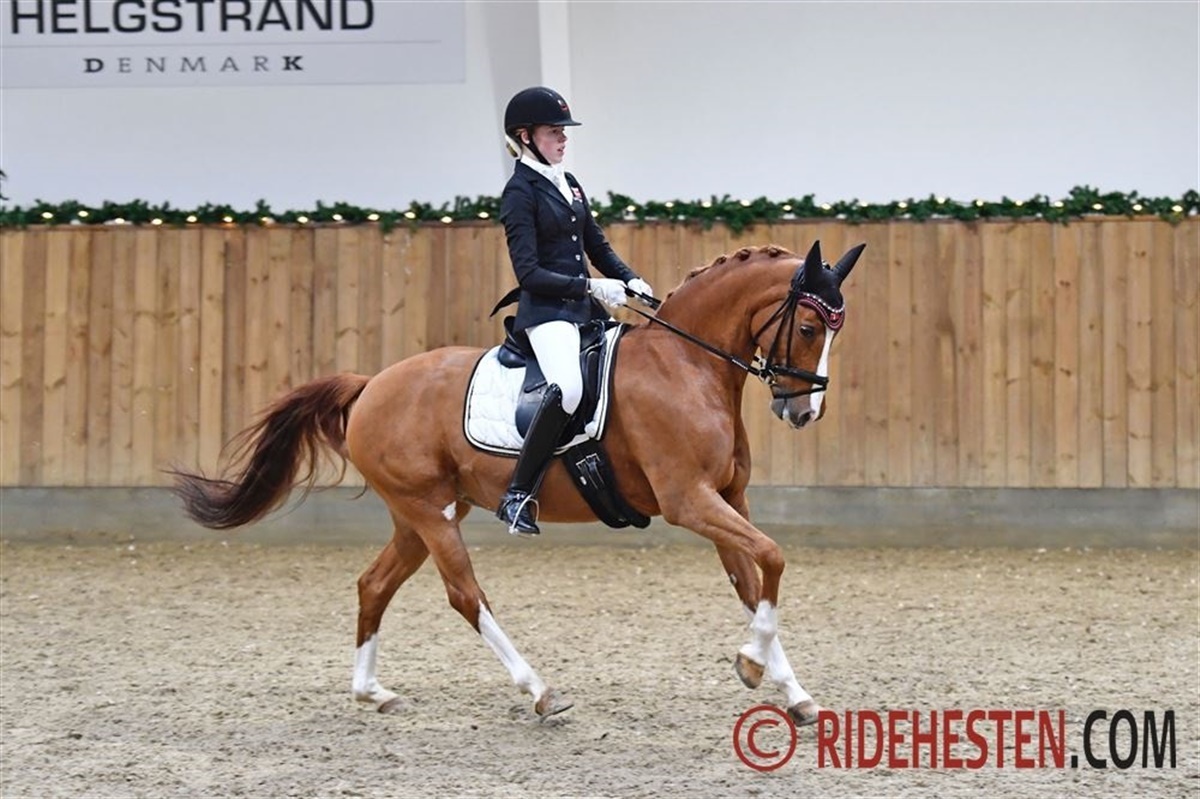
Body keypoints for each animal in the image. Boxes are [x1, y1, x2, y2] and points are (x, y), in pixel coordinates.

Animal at [171, 240, 864, 724]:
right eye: (808, 328)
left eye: (836, 330)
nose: (804, 410)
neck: (686, 365)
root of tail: (371, 385)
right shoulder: (689, 501)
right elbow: (772, 557)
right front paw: (750, 664)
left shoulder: (726, 499)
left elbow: (754, 581)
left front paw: (793, 692)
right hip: (428, 513)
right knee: (465, 596)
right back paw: (540, 691)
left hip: (421, 515)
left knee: (374, 585)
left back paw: (373, 693)